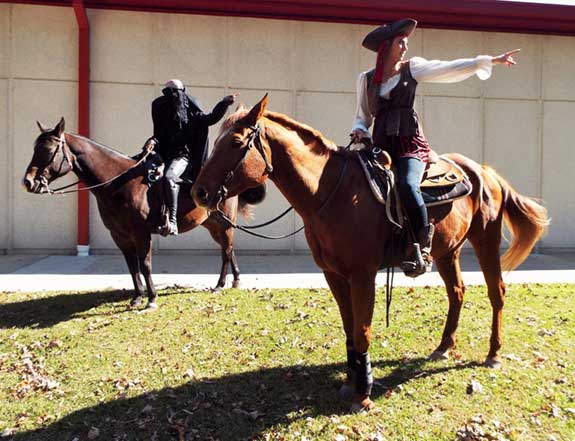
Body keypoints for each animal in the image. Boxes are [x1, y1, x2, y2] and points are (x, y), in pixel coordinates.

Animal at [23, 117, 248, 310]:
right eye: (35, 149)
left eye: (49, 150)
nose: (28, 182)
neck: (118, 182)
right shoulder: (119, 235)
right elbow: (132, 266)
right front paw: (137, 297)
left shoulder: (141, 233)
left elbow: (145, 264)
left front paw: (152, 299)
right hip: (213, 224)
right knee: (228, 249)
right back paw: (236, 280)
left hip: (225, 223)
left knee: (226, 250)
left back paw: (220, 284)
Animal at [191, 94, 552, 410]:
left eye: (236, 143)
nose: (199, 193)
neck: (331, 194)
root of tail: (485, 172)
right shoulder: (334, 275)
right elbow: (349, 329)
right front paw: (351, 381)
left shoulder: (363, 275)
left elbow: (362, 331)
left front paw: (362, 395)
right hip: (448, 251)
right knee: (457, 292)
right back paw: (443, 347)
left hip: (485, 241)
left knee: (496, 292)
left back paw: (493, 353)